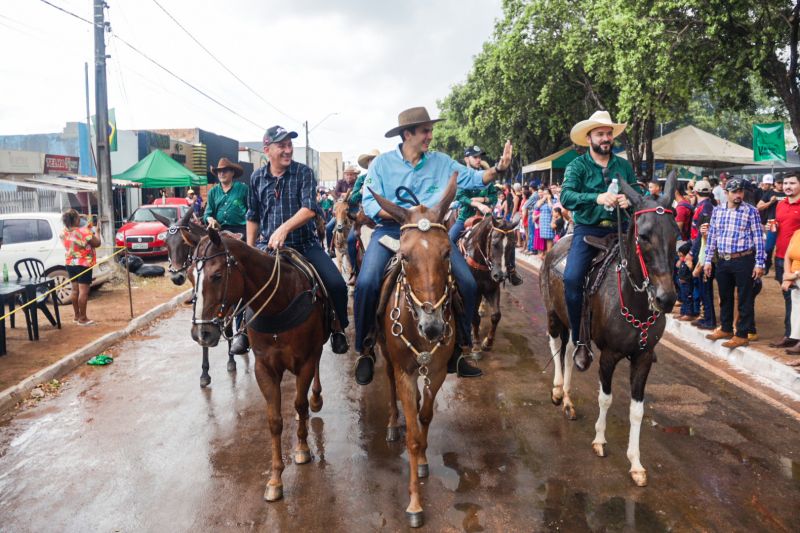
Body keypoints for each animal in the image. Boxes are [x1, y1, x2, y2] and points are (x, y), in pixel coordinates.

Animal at [183, 228, 326, 498]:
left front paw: (302, 449)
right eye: (189, 276)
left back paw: (316, 398)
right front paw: (275, 480)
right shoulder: (264, 368)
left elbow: (300, 404)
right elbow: (274, 421)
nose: (201, 334)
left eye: (217, 276)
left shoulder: (304, 361)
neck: (278, 303)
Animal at [368, 172, 456, 524]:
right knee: (391, 386)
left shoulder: (438, 369)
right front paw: (415, 504)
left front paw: (423, 463)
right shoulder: (405, 370)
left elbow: (425, 417)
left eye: (447, 253)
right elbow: (412, 439)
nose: (432, 327)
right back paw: (393, 423)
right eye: (405, 257)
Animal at [460, 214, 520, 352]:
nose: (501, 275)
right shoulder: (474, 291)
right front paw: (476, 343)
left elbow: (496, 315)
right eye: (494, 244)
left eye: (512, 245)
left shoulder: (492, 289)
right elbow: (475, 317)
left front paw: (488, 342)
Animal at [540, 172, 680, 484]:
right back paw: (557, 391)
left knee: (570, 350)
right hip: (554, 313)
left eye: (677, 236)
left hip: (574, 323)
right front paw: (600, 440)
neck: (634, 301)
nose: (666, 298)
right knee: (555, 345)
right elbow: (605, 398)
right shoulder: (609, 355)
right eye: (644, 236)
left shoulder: (642, 357)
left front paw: (636, 463)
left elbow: (637, 410)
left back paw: (568, 400)